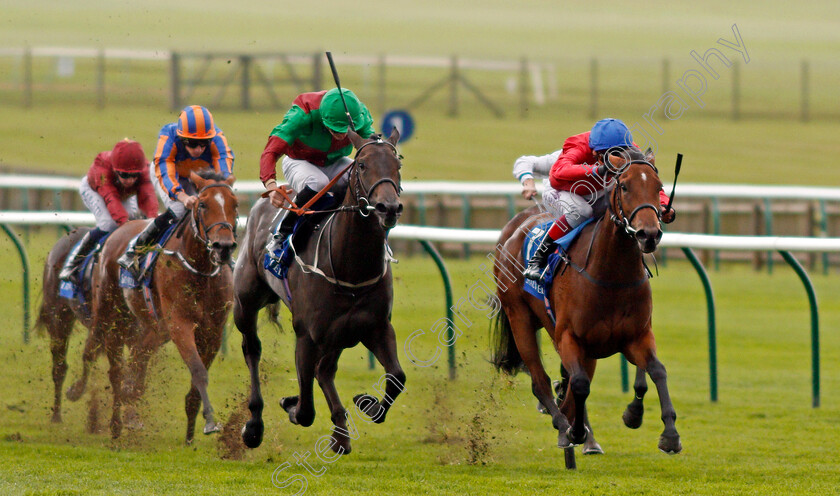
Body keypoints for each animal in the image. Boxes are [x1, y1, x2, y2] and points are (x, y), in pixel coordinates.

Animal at [90, 170, 238, 442]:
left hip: (153, 328)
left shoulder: (212, 330)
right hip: (112, 315)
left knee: (138, 360)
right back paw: (115, 425)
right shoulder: (179, 323)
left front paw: (191, 432)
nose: (223, 247)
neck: (199, 269)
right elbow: (198, 371)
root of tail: (119, 230)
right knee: (116, 372)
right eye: (203, 205)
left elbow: (198, 375)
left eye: (235, 204)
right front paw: (210, 422)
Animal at [235, 128, 406, 454]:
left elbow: (397, 378)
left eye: (398, 165)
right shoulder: (307, 334)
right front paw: (290, 403)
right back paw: (254, 425)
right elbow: (305, 411)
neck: (351, 267)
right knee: (252, 350)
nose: (388, 208)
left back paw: (341, 434)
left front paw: (367, 403)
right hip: (245, 303)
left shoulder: (376, 326)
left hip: (339, 334)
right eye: (362, 165)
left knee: (325, 371)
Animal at [492, 148, 684, 462]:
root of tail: (516, 228)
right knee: (541, 380)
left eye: (659, 187)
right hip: (519, 317)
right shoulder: (570, 336)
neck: (612, 277)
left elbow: (657, 371)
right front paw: (574, 431)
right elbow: (579, 384)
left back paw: (584, 433)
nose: (649, 234)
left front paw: (667, 433)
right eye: (624, 186)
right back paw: (564, 427)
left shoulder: (636, 336)